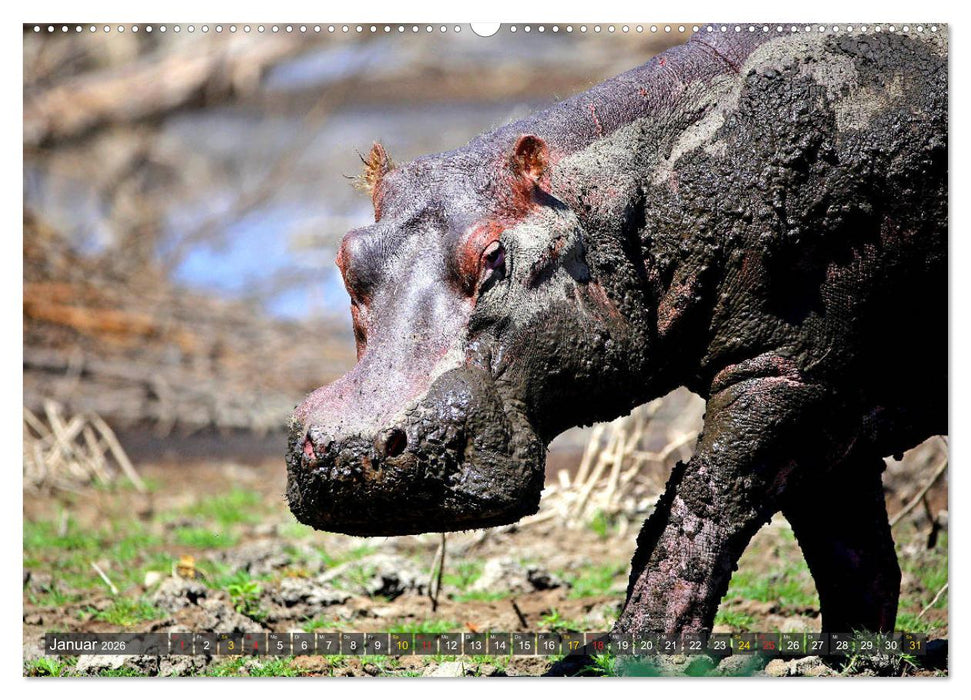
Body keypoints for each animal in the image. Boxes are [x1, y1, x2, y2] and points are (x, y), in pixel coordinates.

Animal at [286, 25, 947, 637]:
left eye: (494, 254)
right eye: (347, 256)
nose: (349, 447)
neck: (636, 192)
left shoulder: (788, 372)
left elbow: (702, 504)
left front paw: (634, 648)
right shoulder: (831, 395)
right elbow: (853, 554)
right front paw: (857, 652)